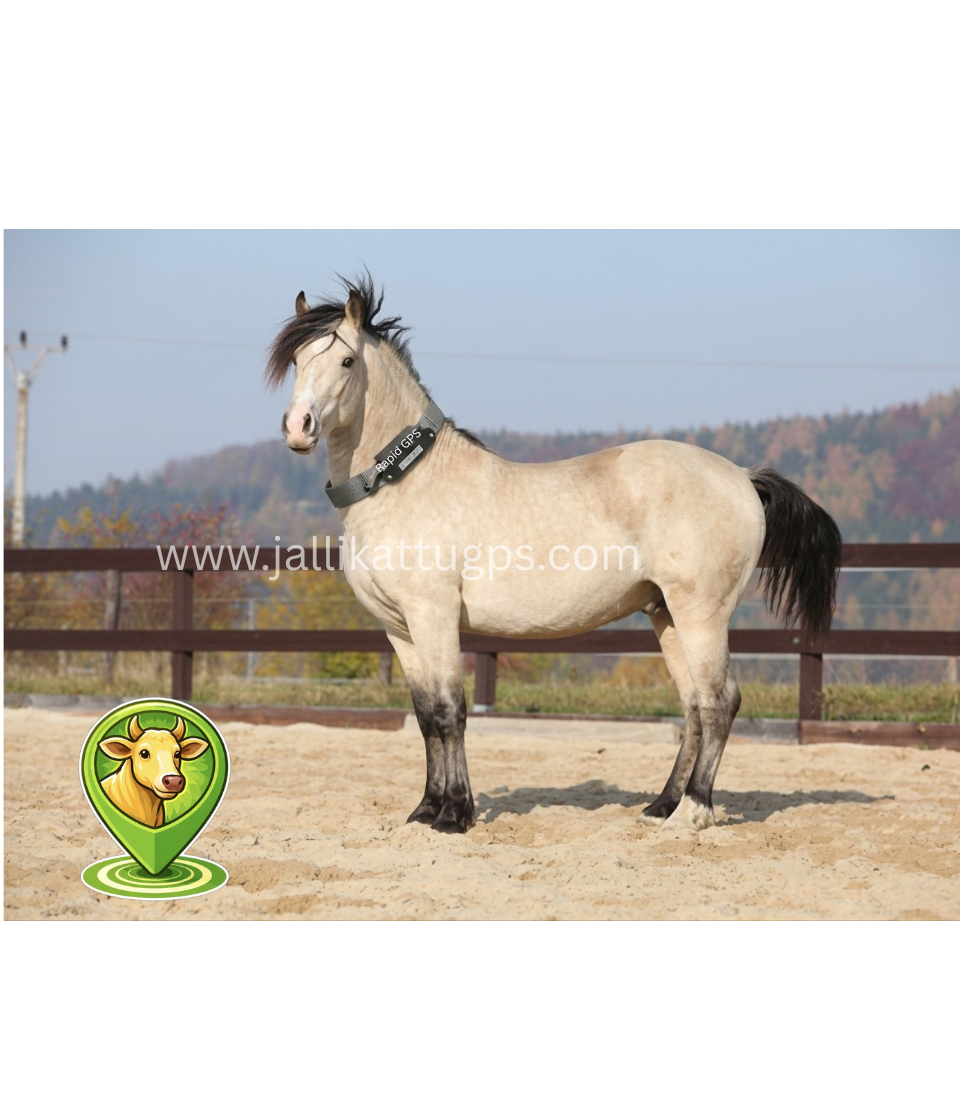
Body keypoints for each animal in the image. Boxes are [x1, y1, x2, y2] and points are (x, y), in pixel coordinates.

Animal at [267, 275, 842, 834]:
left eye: (346, 361)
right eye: (296, 361)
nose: (299, 427)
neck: (407, 485)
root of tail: (741, 475)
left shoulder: (435, 617)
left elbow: (452, 712)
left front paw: (455, 814)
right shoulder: (400, 629)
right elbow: (427, 716)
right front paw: (426, 809)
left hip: (702, 613)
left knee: (720, 701)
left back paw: (695, 811)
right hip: (666, 615)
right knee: (695, 705)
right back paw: (662, 806)